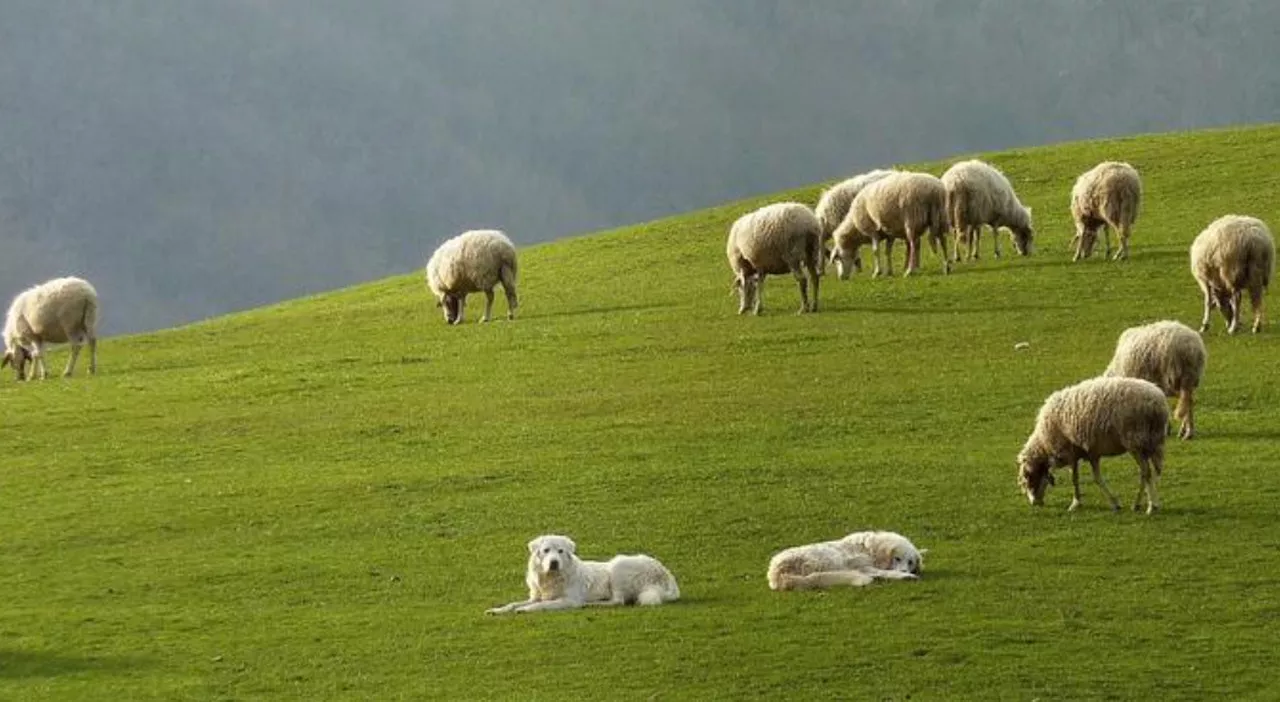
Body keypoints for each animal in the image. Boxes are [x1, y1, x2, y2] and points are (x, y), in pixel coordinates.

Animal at [483, 538, 680, 614]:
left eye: (560, 551)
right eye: (546, 550)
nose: (554, 562)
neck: (552, 577)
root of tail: (665, 572)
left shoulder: (568, 600)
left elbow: (544, 604)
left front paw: (525, 610)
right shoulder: (536, 596)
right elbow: (513, 603)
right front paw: (497, 610)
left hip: (618, 566)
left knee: (618, 601)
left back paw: (591, 604)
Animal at [762, 530, 926, 589]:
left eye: (910, 562)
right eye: (897, 559)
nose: (905, 570)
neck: (871, 549)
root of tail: (777, 574)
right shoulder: (863, 567)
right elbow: (885, 572)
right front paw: (906, 576)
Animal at [1018, 376, 1172, 512]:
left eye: (1028, 476)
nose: (1034, 503)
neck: (1044, 444)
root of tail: (1158, 403)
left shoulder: (1070, 452)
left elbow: (1075, 478)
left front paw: (1075, 504)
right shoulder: (1090, 453)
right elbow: (1096, 478)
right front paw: (1114, 503)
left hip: (1135, 442)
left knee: (1145, 472)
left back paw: (1148, 506)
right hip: (1150, 443)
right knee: (1149, 472)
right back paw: (1147, 503)